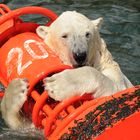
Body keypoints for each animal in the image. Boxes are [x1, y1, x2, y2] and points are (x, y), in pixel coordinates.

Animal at [0, 10, 133, 130]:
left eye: (87, 34)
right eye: (64, 36)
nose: (80, 55)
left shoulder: (109, 66)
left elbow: (117, 88)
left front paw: (57, 84)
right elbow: (26, 126)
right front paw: (17, 87)